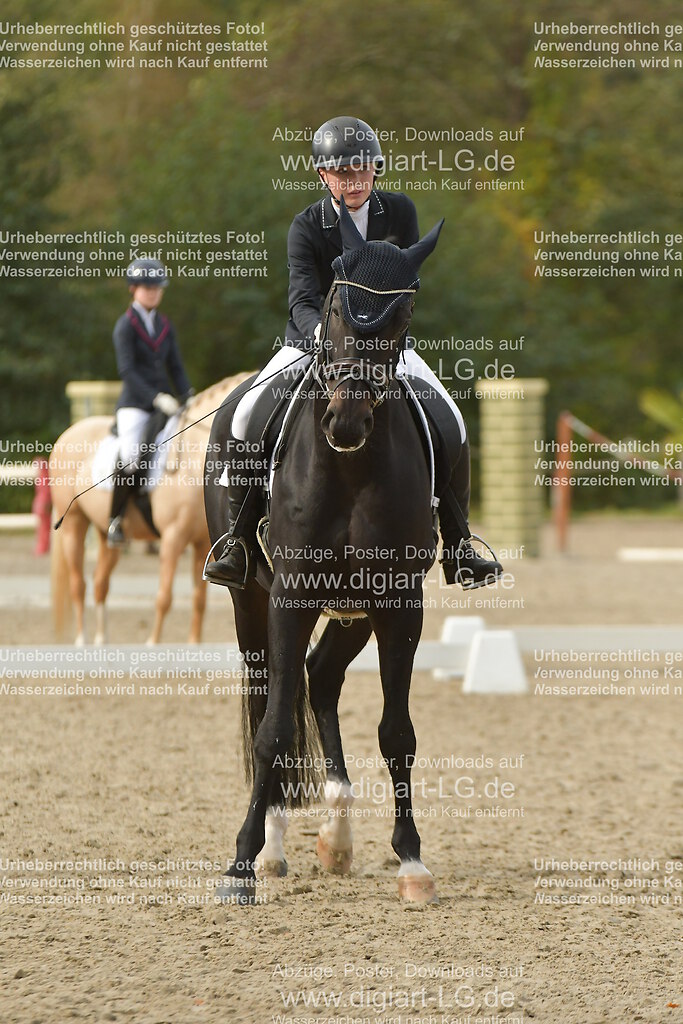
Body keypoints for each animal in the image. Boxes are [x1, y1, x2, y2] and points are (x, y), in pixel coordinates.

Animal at [49, 373, 251, 645]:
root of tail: (69, 433)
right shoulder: (173, 538)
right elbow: (164, 598)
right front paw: (153, 643)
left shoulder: (201, 544)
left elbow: (199, 600)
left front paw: (194, 644)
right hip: (74, 524)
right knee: (77, 584)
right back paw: (82, 641)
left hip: (106, 533)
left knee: (100, 583)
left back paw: (102, 640)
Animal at [204, 202, 449, 904]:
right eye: (336, 308)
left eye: (402, 315)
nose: (345, 421)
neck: (350, 466)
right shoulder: (289, 596)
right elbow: (273, 730)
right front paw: (241, 864)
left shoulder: (399, 602)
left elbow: (397, 732)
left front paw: (412, 861)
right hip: (251, 600)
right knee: (271, 694)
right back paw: (273, 848)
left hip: (354, 609)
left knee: (322, 675)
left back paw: (337, 835)